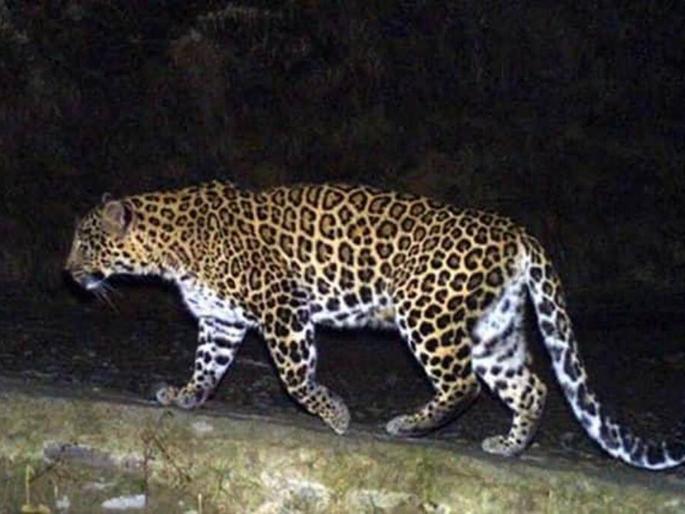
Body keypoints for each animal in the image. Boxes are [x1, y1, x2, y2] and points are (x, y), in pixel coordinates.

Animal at [65, 180, 685, 470]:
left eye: (85, 242)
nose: (68, 272)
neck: (168, 246)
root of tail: (515, 230)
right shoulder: (221, 321)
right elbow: (206, 367)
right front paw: (185, 397)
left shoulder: (281, 305)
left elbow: (295, 375)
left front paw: (335, 414)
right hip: (494, 327)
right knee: (529, 385)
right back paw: (508, 447)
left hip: (427, 312)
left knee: (463, 383)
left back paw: (409, 425)